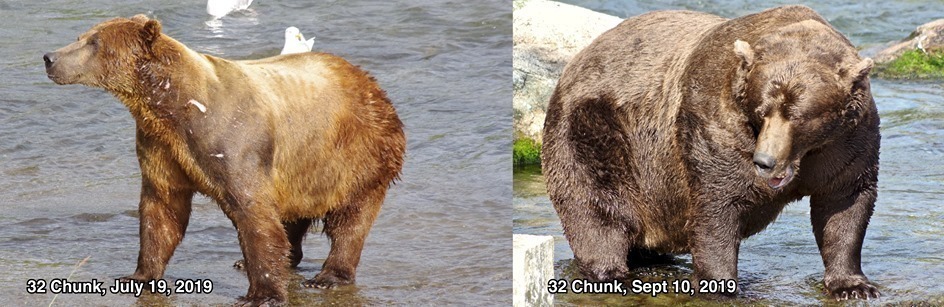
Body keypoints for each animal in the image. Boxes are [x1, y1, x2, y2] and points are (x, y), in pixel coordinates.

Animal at [42, 15, 404, 306]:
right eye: (81, 35)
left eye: (94, 42)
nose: (49, 57)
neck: (170, 106)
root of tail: (371, 82)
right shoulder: (160, 147)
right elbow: (161, 207)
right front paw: (139, 275)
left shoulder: (231, 141)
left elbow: (251, 210)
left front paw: (260, 295)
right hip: (301, 168)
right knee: (293, 212)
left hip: (356, 154)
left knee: (351, 217)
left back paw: (328, 276)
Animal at [544, 6, 880, 302]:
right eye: (762, 111)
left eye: (799, 116)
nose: (764, 161)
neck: (804, 156)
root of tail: (575, 60)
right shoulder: (715, 127)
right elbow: (717, 207)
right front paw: (719, 285)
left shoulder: (847, 143)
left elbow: (844, 204)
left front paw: (853, 285)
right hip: (595, 132)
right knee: (596, 208)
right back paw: (612, 273)